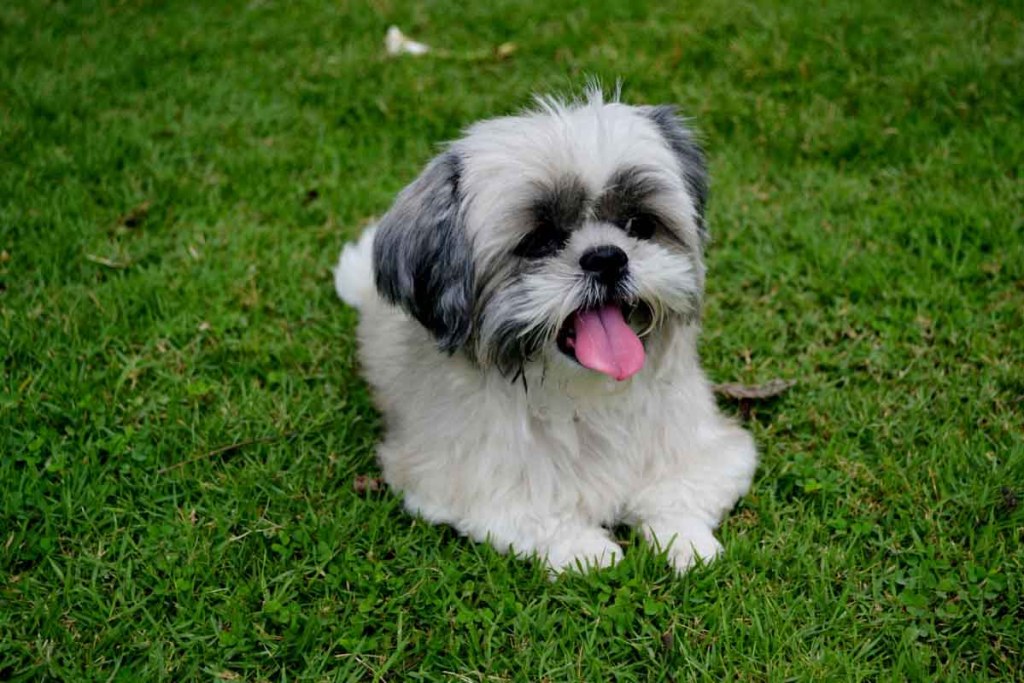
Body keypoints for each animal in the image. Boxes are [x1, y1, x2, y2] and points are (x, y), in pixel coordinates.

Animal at [331, 88, 757, 573]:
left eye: (639, 225)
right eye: (538, 242)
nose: (607, 257)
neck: (585, 396)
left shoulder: (709, 449)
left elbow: (677, 491)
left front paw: (685, 540)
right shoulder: (458, 480)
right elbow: (533, 514)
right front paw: (587, 549)